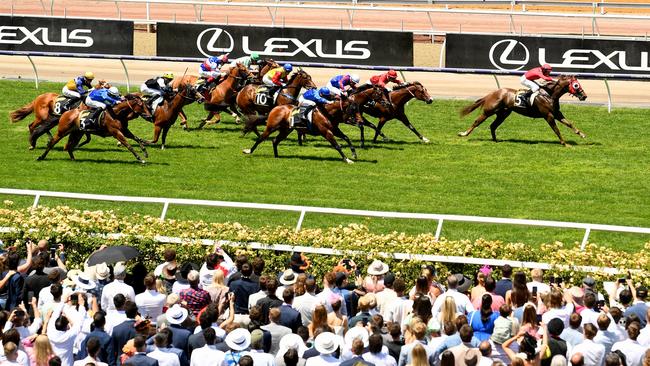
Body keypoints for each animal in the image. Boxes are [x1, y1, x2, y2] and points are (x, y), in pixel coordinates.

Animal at [456, 74, 588, 146]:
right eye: (576, 85)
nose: (584, 96)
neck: (549, 95)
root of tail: (493, 93)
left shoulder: (556, 113)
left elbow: (569, 124)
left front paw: (582, 134)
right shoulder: (548, 115)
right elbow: (556, 129)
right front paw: (564, 143)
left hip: (503, 114)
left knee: (493, 126)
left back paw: (495, 140)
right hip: (489, 111)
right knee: (477, 122)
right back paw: (463, 133)